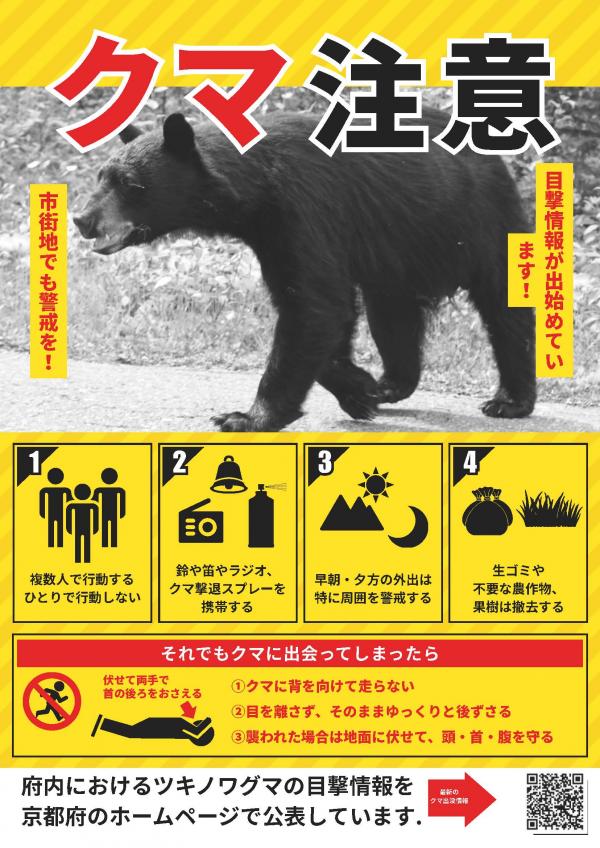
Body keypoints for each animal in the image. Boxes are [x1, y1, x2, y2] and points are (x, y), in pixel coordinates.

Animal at [73, 109, 536, 431]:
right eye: (101, 176)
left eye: (130, 184)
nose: (82, 219)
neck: (255, 191)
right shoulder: (272, 234)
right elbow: (321, 306)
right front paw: (360, 389)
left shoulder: (304, 209)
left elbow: (315, 304)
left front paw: (245, 417)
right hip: (396, 259)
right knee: (392, 316)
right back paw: (391, 383)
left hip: (481, 221)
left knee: (505, 308)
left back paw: (510, 400)